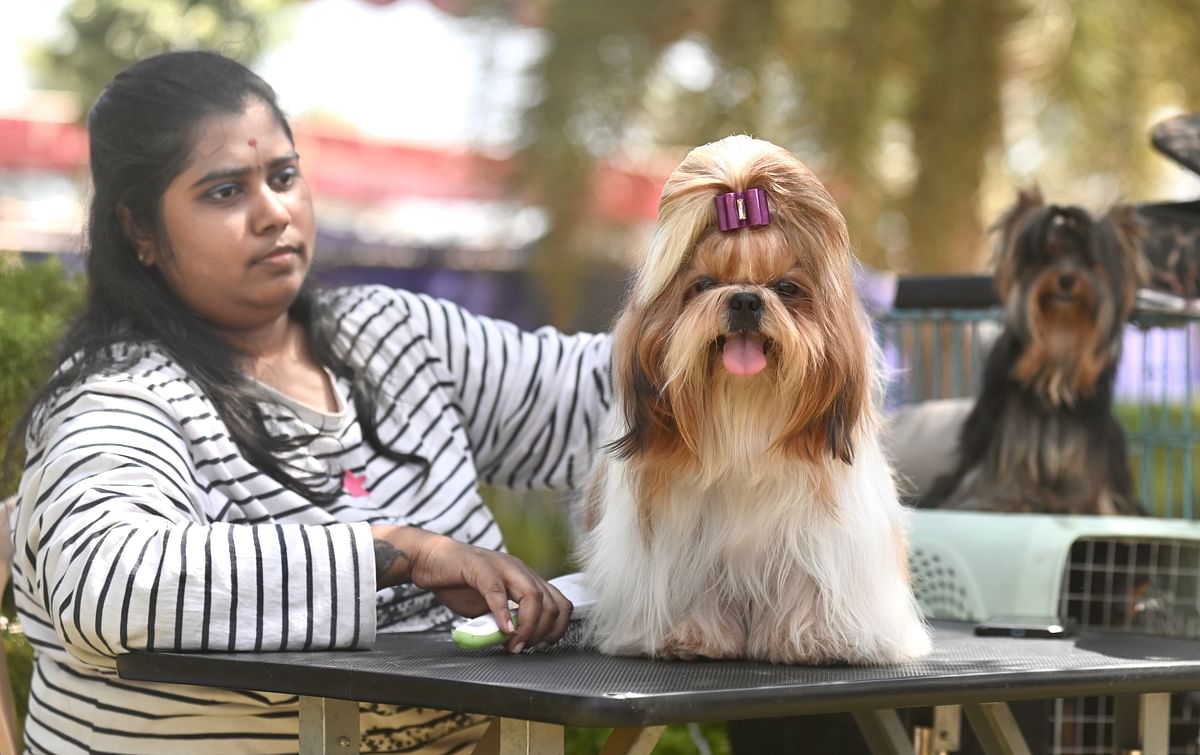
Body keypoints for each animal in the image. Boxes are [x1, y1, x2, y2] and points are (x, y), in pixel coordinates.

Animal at [576, 133, 931, 657]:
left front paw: (812, 637)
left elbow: (808, 584)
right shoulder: (684, 541)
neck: (745, 414)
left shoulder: (817, 538)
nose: (745, 298)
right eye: (703, 285)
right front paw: (692, 634)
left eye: (786, 288)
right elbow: (692, 586)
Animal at [921, 188, 1147, 516]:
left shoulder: (1088, 432)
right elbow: (1006, 462)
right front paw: (1004, 500)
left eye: (1090, 263)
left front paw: (1080, 505)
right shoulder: (1010, 424)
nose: (1067, 279)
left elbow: (1085, 468)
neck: (1060, 338)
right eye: (1046, 257)